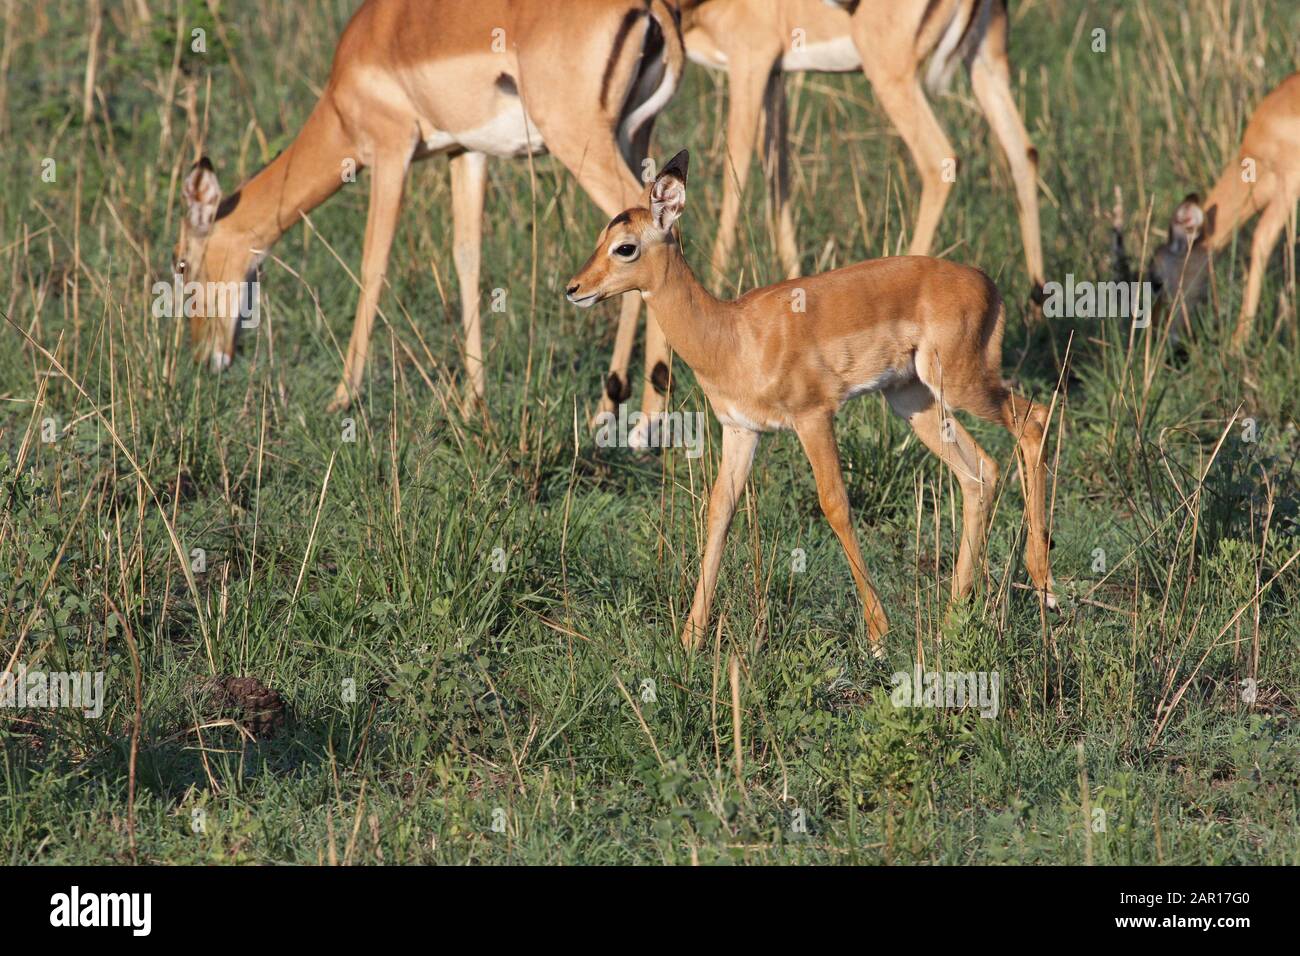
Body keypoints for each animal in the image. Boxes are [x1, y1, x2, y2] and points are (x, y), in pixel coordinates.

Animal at [174, 0, 684, 419]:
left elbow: (373, 264)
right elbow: (467, 259)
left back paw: (634, 423)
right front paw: (473, 401)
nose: (204, 359)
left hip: (581, 140)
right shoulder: (465, 152)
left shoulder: (390, 152)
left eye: (181, 264)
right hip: (634, 138)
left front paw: (341, 397)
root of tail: (650, 6)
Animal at [565, 151, 1057, 653]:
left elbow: (835, 504)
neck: (730, 335)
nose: (574, 288)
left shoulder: (813, 417)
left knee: (1033, 418)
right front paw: (690, 638)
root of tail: (987, 283)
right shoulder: (741, 430)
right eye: (602, 237)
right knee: (980, 472)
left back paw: (1044, 587)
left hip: (963, 384)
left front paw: (878, 635)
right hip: (913, 401)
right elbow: (720, 511)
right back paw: (952, 618)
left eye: (625, 247)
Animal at [680, 0, 1045, 307]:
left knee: (940, 159)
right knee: (1023, 152)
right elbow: (777, 171)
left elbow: (736, 172)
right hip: (986, 62)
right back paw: (1037, 307)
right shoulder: (774, 74)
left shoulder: (749, 63)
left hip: (891, 75)